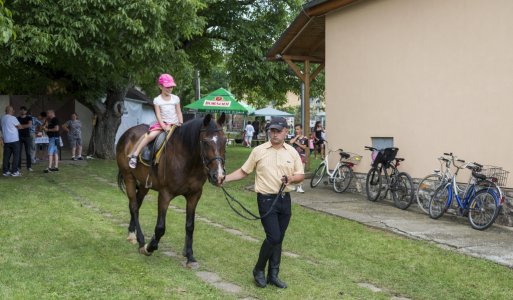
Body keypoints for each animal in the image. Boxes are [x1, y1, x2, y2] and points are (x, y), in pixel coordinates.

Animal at [119, 113, 227, 268]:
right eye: (205, 142)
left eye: (225, 141)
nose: (218, 176)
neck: (186, 159)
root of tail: (128, 133)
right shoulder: (165, 194)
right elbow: (160, 227)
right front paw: (150, 247)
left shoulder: (194, 195)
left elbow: (190, 226)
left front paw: (190, 256)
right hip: (129, 178)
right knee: (134, 207)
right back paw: (141, 240)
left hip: (145, 185)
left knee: (136, 206)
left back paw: (132, 234)